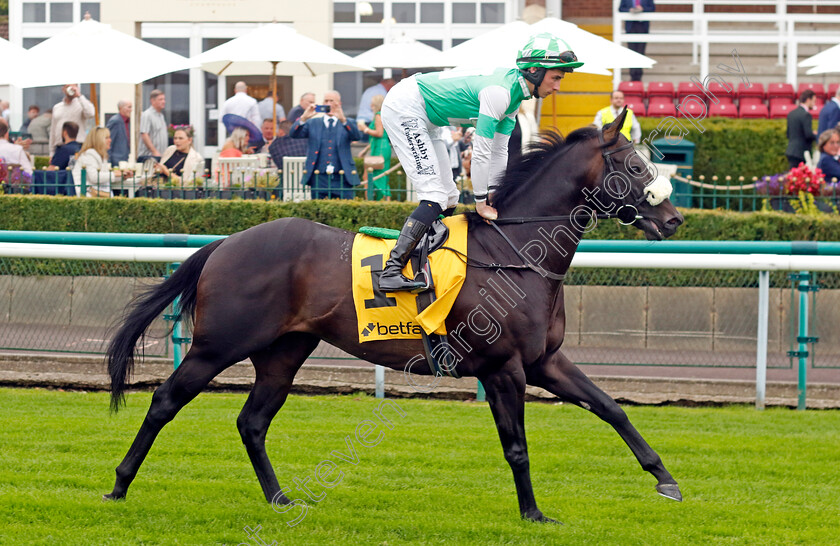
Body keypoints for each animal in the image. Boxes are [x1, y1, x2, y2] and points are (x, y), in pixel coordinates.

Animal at [103, 108, 684, 520]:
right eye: (636, 166)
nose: (675, 219)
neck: (516, 249)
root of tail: (225, 242)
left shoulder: (546, 361)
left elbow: (611, 408)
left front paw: (666, 478)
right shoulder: (505, 369)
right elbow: (517, 446)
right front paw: (534, 514)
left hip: (283, 351)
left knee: (252, 421)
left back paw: (281, 498)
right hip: (219, 344)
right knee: (165, 400)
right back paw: (119, 484)